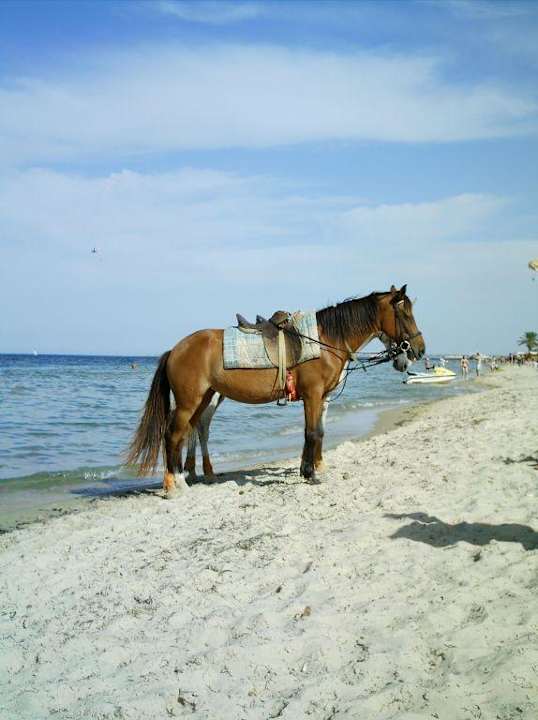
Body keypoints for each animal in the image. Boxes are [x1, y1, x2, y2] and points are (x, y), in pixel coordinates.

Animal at [127, 285, 425, 495]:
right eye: (404, 313)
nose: (419, 350)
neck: (323, 340)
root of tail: (175, 349)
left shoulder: (318, 398)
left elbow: (316, 433)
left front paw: (308, 470)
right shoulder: (313, 395)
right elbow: (312, 433)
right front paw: (311, 474)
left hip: (202, 400)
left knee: (187, 433)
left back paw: (185, 479)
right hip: (190, 402)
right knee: (172, 435)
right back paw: (172, 485)